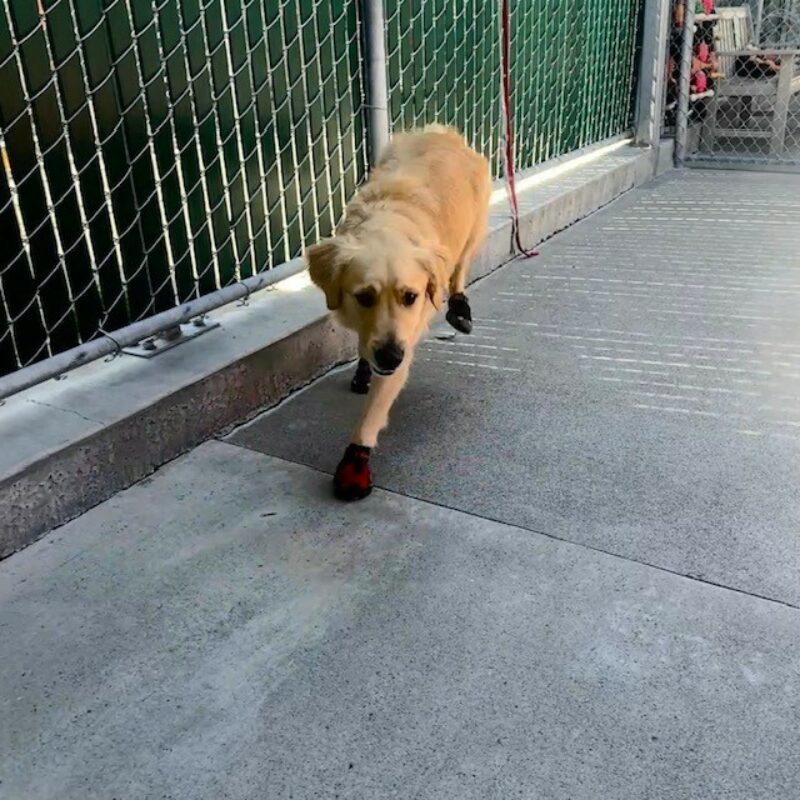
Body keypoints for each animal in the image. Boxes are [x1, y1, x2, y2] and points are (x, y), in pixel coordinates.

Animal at [306, 125, 490, 500]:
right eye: (364, 296)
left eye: (410, 296)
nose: (390, 356)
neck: (389, 224)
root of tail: (445, 133)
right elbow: (363, 346)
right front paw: (363, 370)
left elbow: (374, 410)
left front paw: (355, 460)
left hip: (473, 231)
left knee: (460, 268)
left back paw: (459, 307)